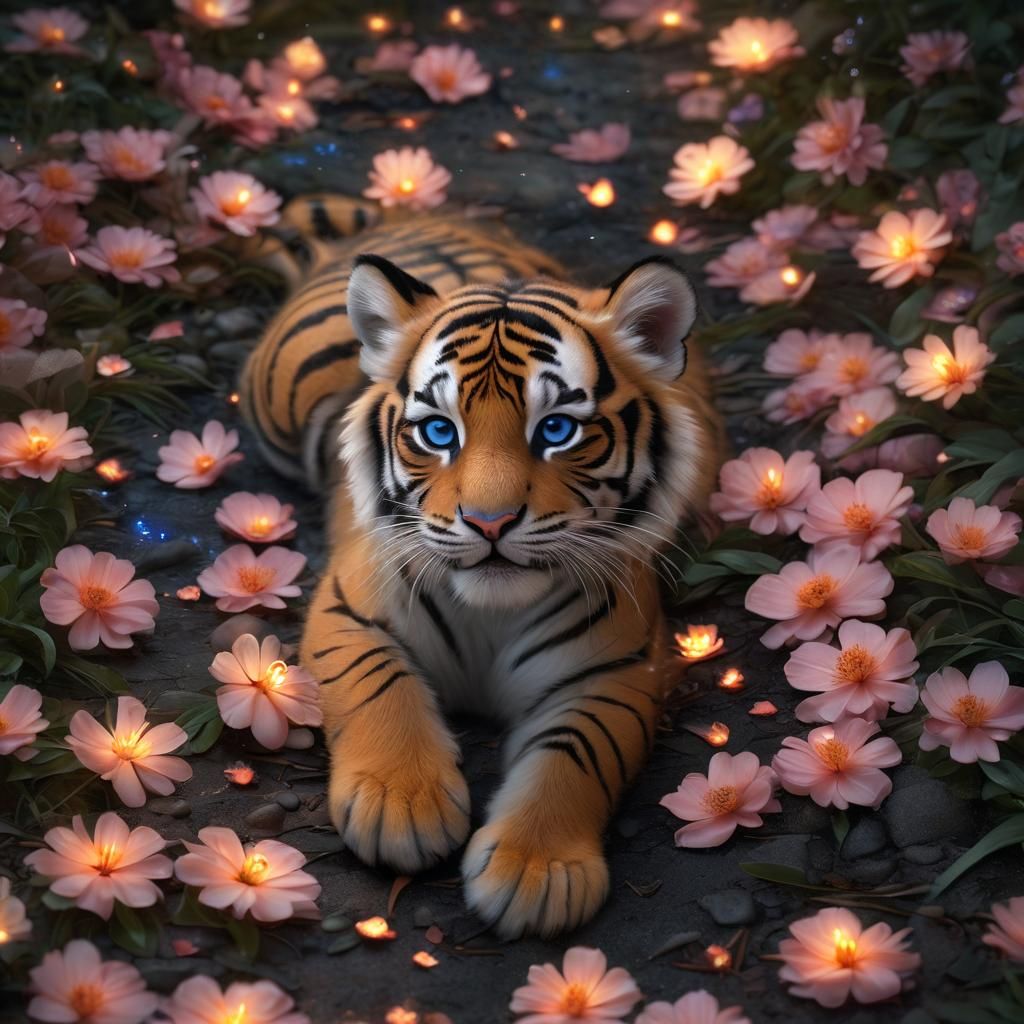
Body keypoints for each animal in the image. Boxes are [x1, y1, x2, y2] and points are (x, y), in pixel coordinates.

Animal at [240, 194, 724, 938]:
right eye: (439, 431)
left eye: (557, 430)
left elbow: (578, 754)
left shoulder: (616, 672)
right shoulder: (349, 609)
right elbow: (378, 685)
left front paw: (537, 870)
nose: (489, 523)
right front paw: (400, 804)